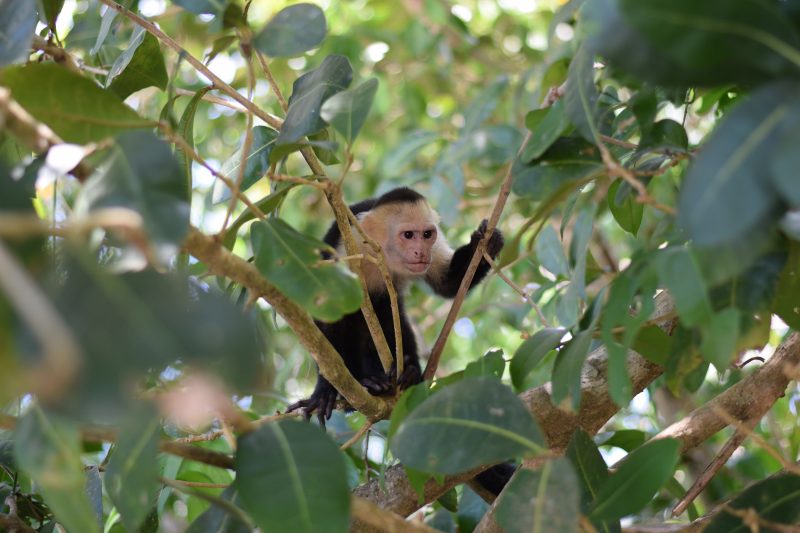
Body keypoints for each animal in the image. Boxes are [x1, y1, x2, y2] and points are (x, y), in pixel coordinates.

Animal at [284, 187, 504, 424]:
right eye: (408, 235)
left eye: (427, 234)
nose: (421, 251)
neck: (382, 255)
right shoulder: (344, 248)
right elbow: (329, 315)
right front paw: (325, 390)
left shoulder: (433, 248)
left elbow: (447, 284)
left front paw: (486, 243)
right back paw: (366, 384)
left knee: (391, 314)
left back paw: (408, 372)